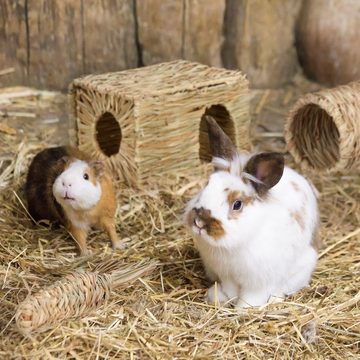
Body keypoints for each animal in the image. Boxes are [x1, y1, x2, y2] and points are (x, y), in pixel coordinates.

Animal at [184, 116, 320, 308]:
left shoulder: (259, 281)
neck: (233, 246)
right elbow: (231, 290)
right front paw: (222, 298)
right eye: (207, 185)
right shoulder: (227, 274)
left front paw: (242, 309)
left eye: (237, 204)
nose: (199, 222)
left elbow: (252, 297)